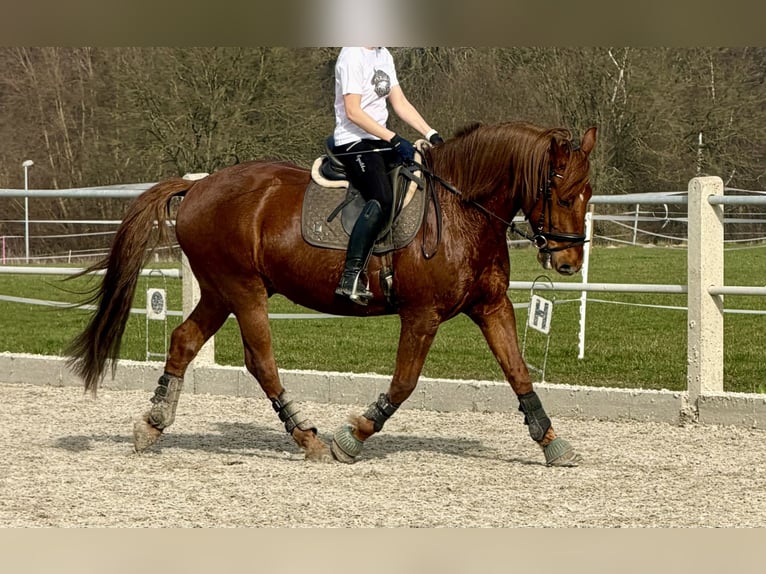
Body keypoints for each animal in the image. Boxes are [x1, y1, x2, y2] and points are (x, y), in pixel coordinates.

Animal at [67, 121, 596, 467]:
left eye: (588, 194)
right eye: (562, 194)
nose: (568, 263)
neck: (460, 210)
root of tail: (198, 188)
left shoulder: (492, 307)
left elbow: (518, 372)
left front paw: (552, 442)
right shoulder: (422, 315)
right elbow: (404, 383)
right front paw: (353, 436)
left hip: (219, 291)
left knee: (184, 341)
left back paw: (153, 423)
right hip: (243, 289)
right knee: (260, 360)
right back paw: (308, 439)